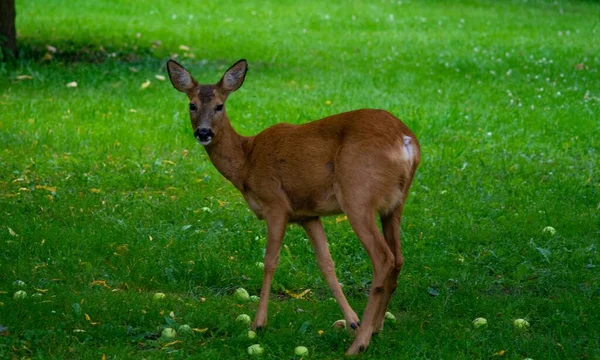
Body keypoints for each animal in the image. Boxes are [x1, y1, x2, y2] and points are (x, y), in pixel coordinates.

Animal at [166, 59, 422, 354]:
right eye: (192, 105)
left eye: (220, 105)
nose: (204, 132)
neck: (247, 162)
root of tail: (406, 141)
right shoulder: (308, 214)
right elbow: (327, 264)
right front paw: (352, 320)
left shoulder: (275, 204)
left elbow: (269, 262)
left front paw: (259, 323)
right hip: (395, 204)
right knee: (399, 258)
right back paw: (375, 329)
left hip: (358, 194)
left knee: (384, 258)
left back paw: (358, 345)